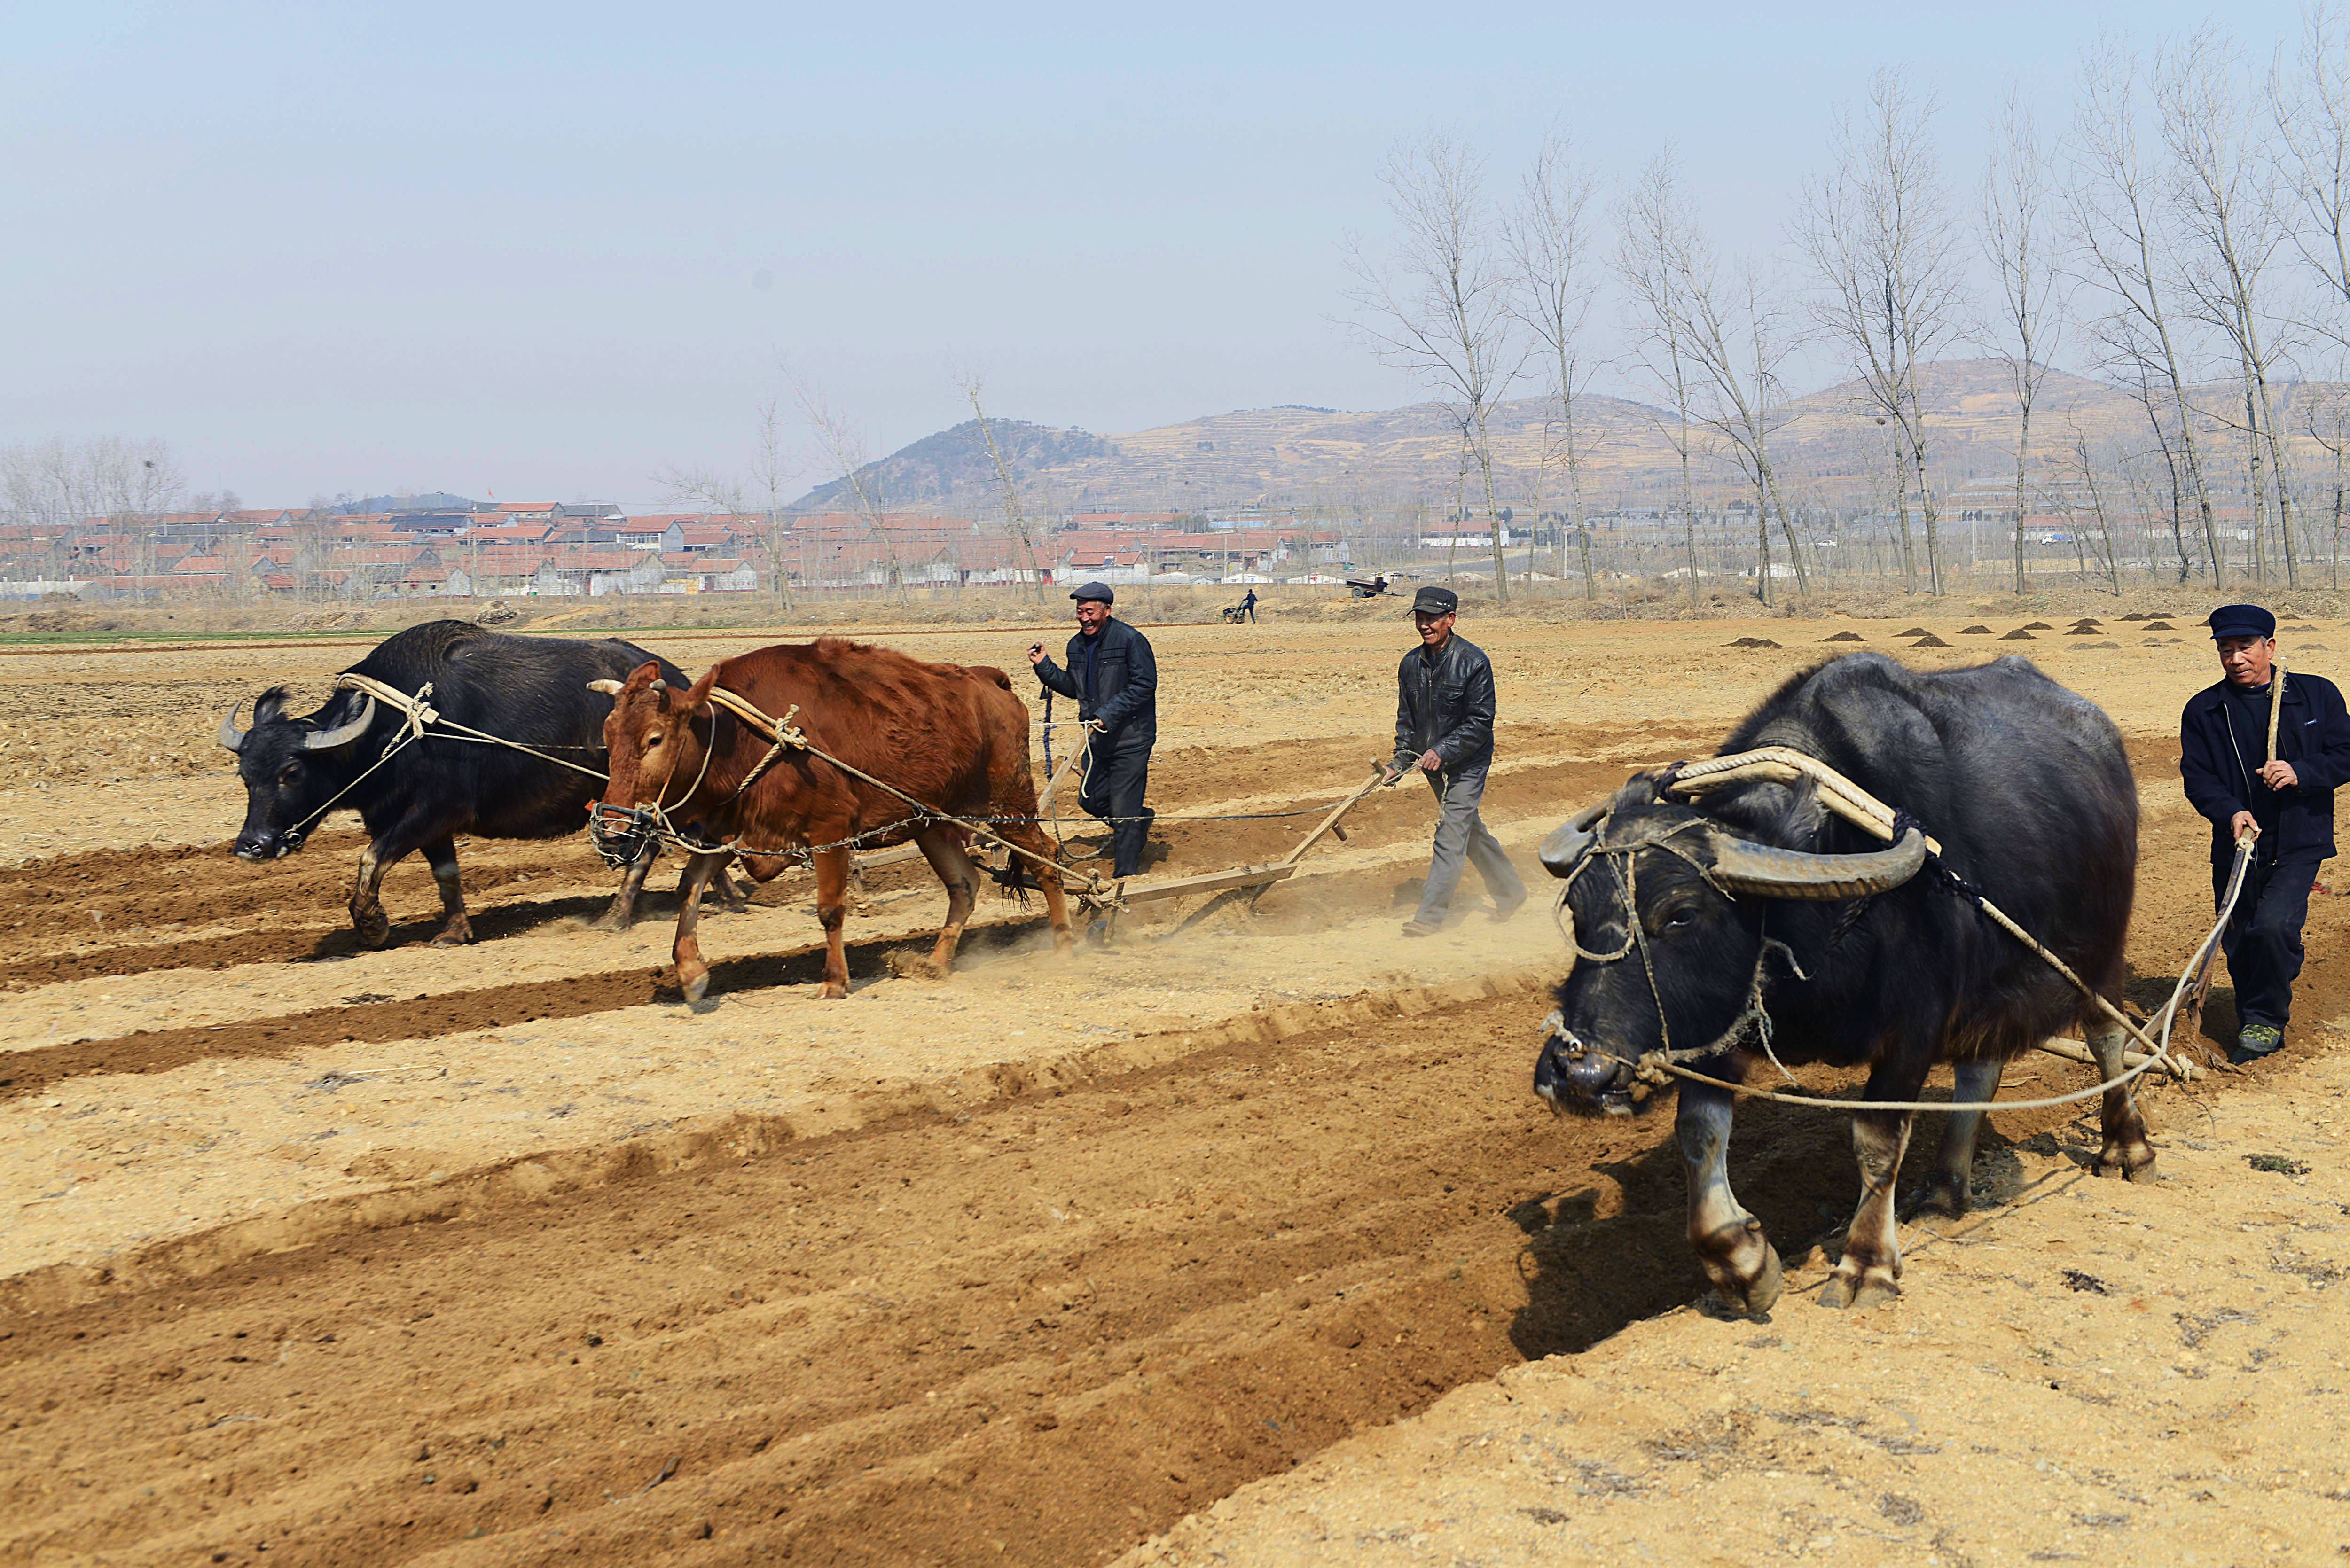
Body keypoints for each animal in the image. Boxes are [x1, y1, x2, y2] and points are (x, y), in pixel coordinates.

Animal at [216, 620, 691, 945]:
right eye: (245, 775)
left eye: (291, 773)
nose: (252, 845)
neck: (391, 732)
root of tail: (680, 681)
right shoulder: (425, 824)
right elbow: (446, 875)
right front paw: (455, 931)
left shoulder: (435, 810)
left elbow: (371, 858)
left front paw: (373, 926)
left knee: (651, 848)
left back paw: (618, 916)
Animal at [1532, 658, 2143, 1316]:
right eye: (1577, 911)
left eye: (1680, 915)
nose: (1576, 1072)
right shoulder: (1718, 1022)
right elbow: (1698, 1131)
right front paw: (1741, 1262)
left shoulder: (1913, 1029)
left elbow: (1876, 1139)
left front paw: (1864, 1263)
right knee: (1979, 1068)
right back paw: (1943, 1190)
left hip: (2099, 959)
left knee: (2108, 1040)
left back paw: (2126, 1150)